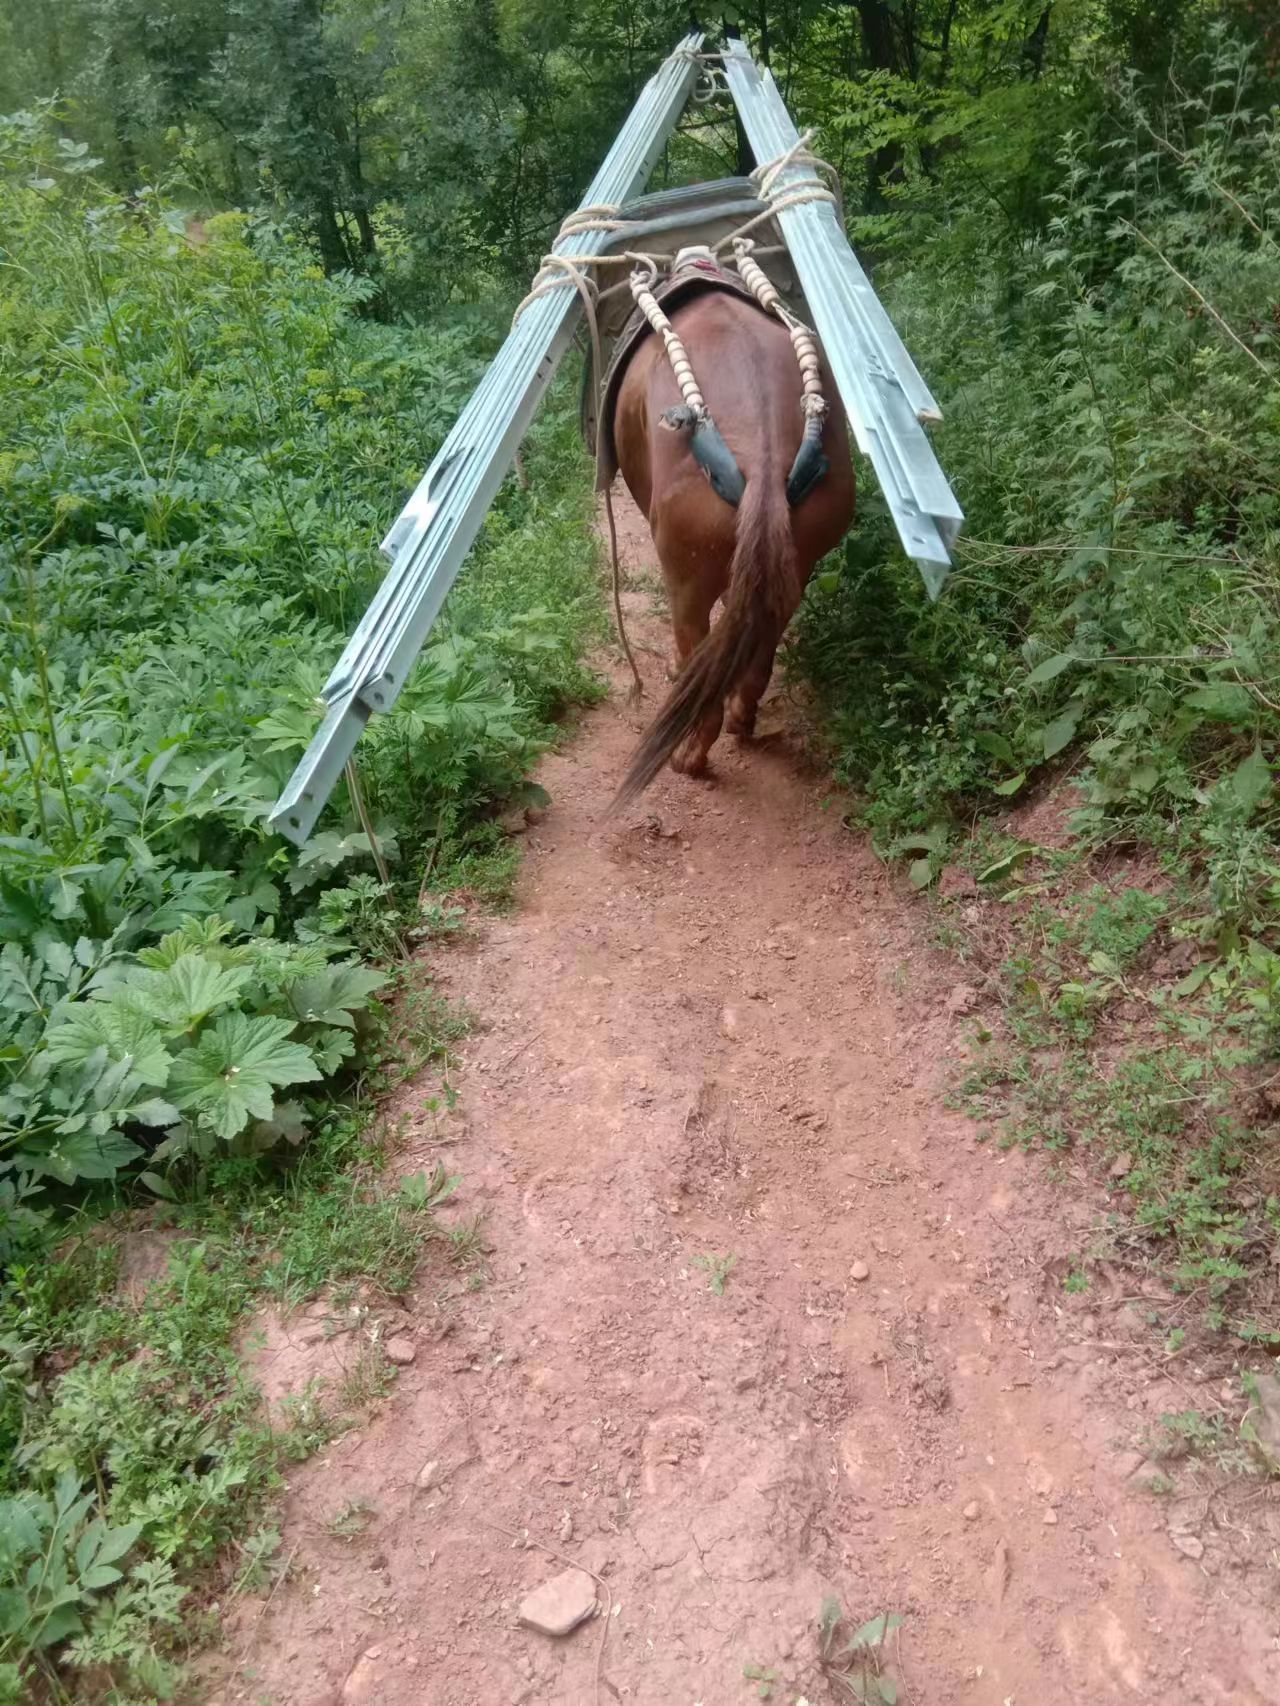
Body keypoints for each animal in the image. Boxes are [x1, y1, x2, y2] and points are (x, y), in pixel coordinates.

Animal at [614, 288, 863, 805]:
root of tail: (763, 460)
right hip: (795, 562)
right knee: (760, 643)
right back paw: (741, 717)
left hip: (685, 579)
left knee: (697, 649)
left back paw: (690, 754)